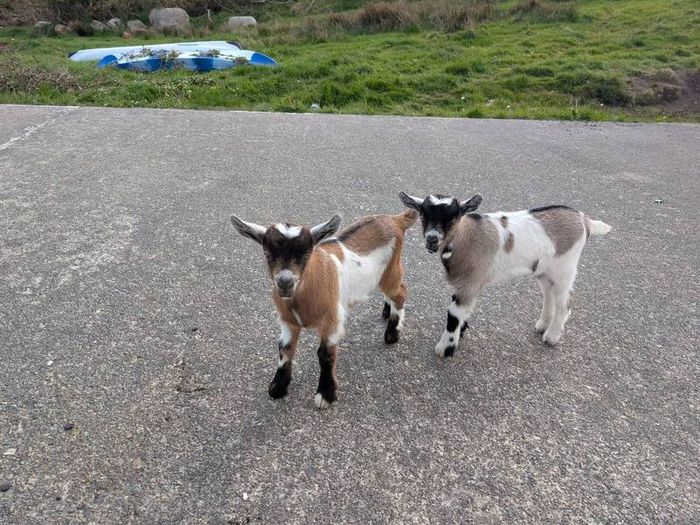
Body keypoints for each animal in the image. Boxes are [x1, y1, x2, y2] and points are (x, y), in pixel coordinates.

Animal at [231, 209, 418, 408]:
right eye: (267, 254)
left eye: (306, 255)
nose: (285, 283)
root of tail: (396, 219)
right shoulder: (287, 321)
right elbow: (284, 349)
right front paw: (278, 388)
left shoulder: (332, 320)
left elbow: (325, 354)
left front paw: (325, 394)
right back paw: (386, 312)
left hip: (391, 270)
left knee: (400, 292)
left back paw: (392, 334)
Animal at [399, 192, 611, 355]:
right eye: (423, 215)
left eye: (453, 218)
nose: (432, 239)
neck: (467, 236)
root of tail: (584, 220)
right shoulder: (467, 285)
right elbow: (463, 311)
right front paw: (462, 331)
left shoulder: (471, 283)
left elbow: (454, 313)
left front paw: (445, 349)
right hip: (544, 270)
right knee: (548, 294)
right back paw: (542, 325)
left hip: (565, 268)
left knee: (565, 302)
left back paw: (551, 337)